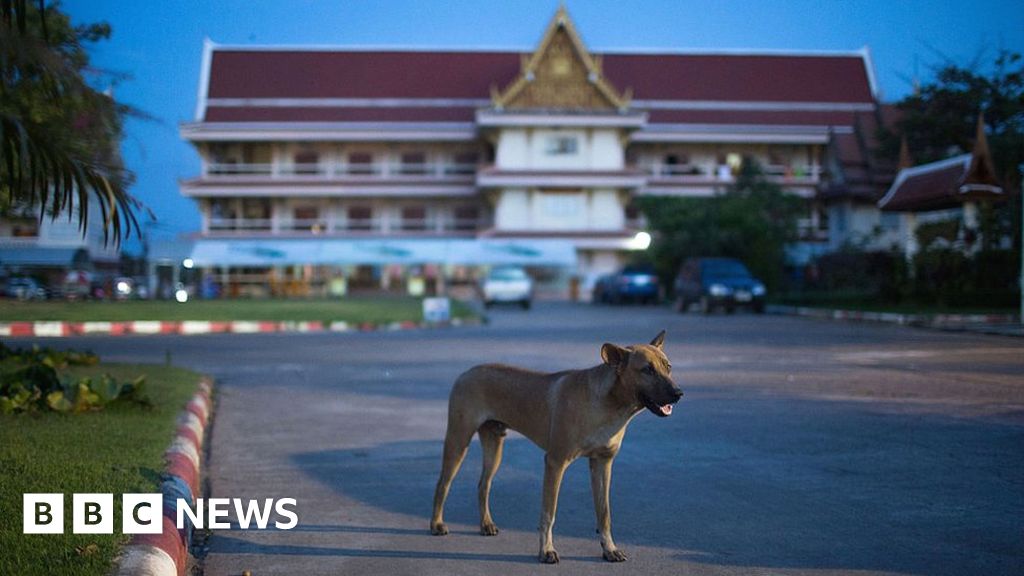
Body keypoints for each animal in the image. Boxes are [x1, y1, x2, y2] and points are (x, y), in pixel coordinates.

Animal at [430, 327, 679, 561]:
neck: (607, 403)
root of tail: (466, 372)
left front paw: (609, 549)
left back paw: (485, 524)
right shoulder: (555, 462)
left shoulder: (602, 464)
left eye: (668, 367)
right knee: (443, 483)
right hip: (458, 440)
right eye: (647, 370)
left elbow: (604, 513)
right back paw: (436, 524)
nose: (678, 393)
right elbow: (549, 514)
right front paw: (546, 550)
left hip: (494, 446)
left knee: (483, 484)